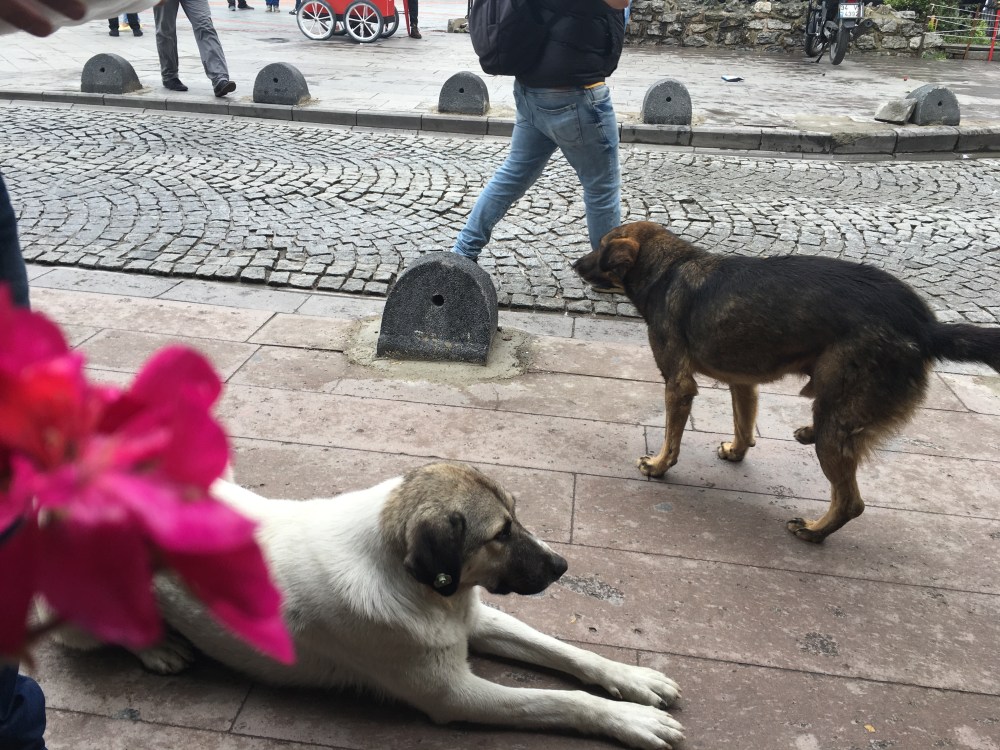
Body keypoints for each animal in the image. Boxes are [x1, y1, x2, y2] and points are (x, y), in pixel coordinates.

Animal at [53, 462, 684, 750]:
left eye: (517, 517)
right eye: (499, 534)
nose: (562, 567)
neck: (415, 584)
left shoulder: (475, 617)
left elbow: (568, 654)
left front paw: (633, 680)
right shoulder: (453, 695)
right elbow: (560, 700)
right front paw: (628, 720)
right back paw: (158, 647)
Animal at [574, 221, 1000, 543]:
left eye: (601, 248)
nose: (575, 264)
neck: (670, 267)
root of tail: (926, 327)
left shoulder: (679, 385)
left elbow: (672, 438)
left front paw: (660, 465)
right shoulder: (743, 381)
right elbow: (744, 425)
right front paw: (737, 451)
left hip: (839, 412)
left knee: (850, 500)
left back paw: (814, 531)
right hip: (836, 403)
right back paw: (808, 435)